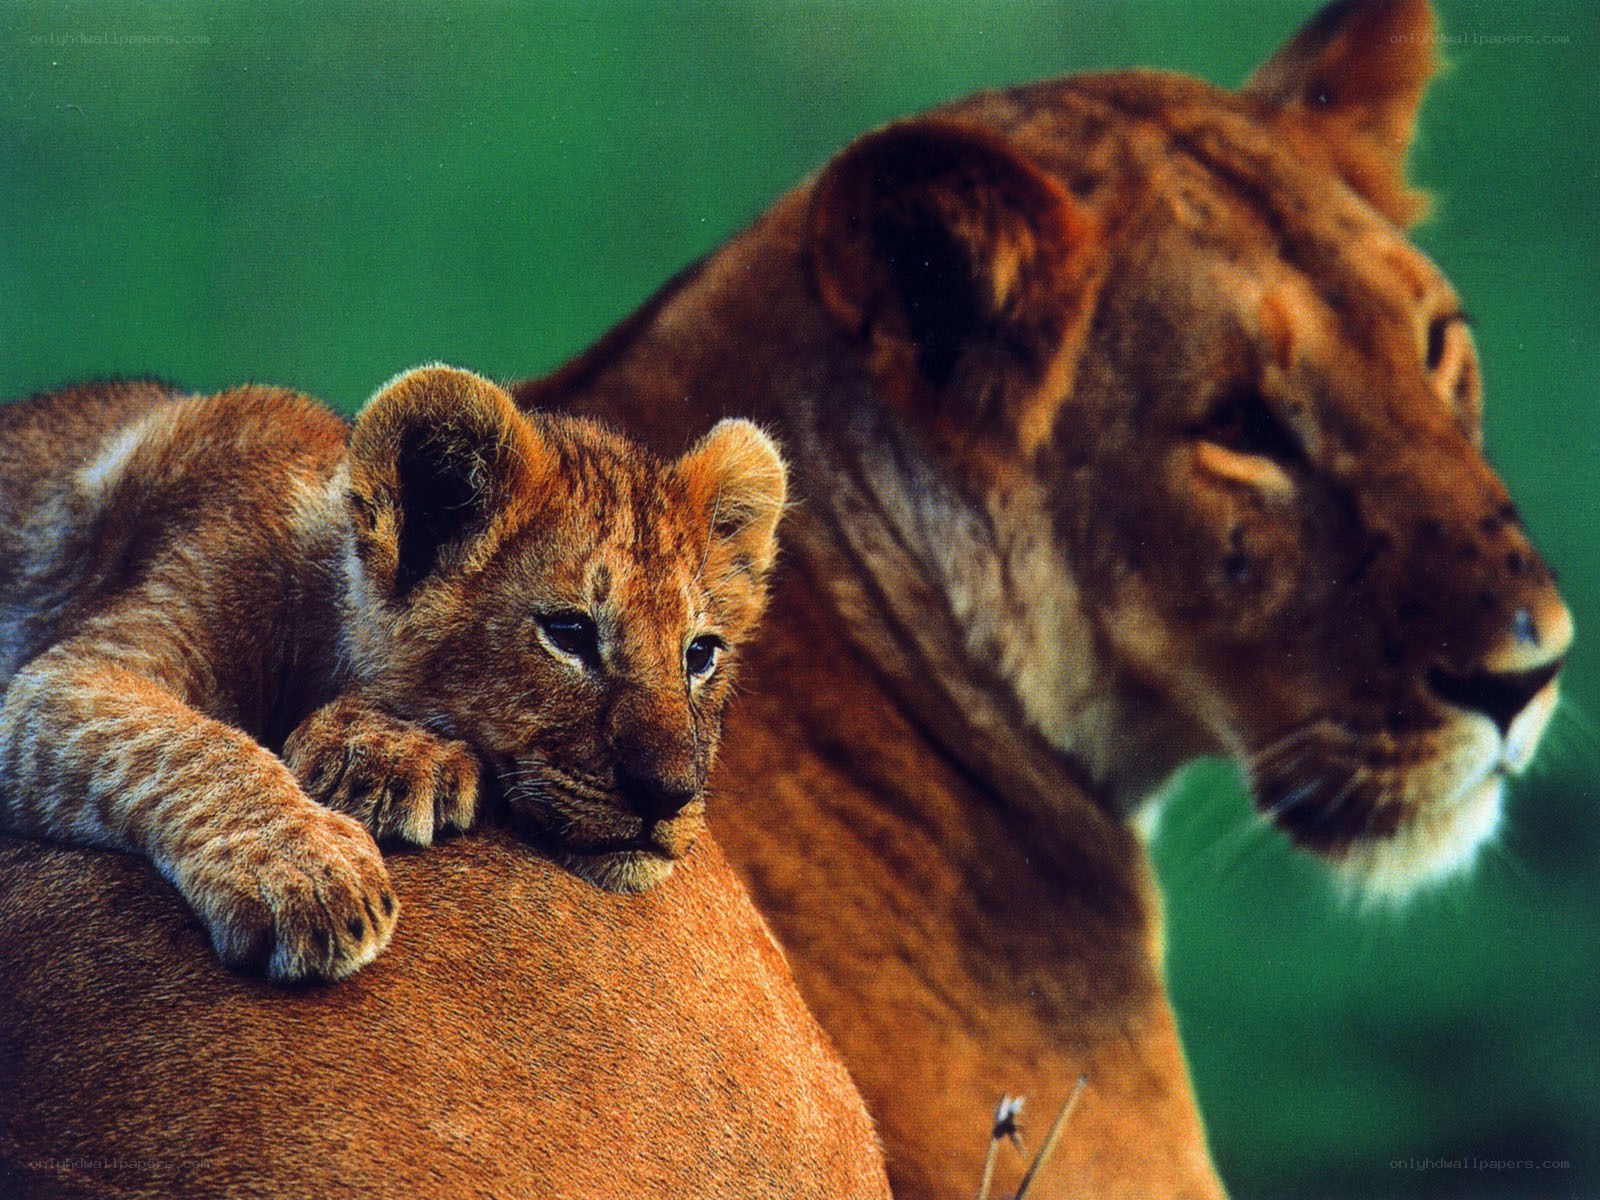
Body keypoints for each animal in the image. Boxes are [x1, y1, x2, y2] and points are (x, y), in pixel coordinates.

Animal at [0, 365, 786, 981]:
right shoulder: (65, 678)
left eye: (699, 654)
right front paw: (310, 875)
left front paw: (386, 757)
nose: (670, 794)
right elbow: (190, 744)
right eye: (568, 633)